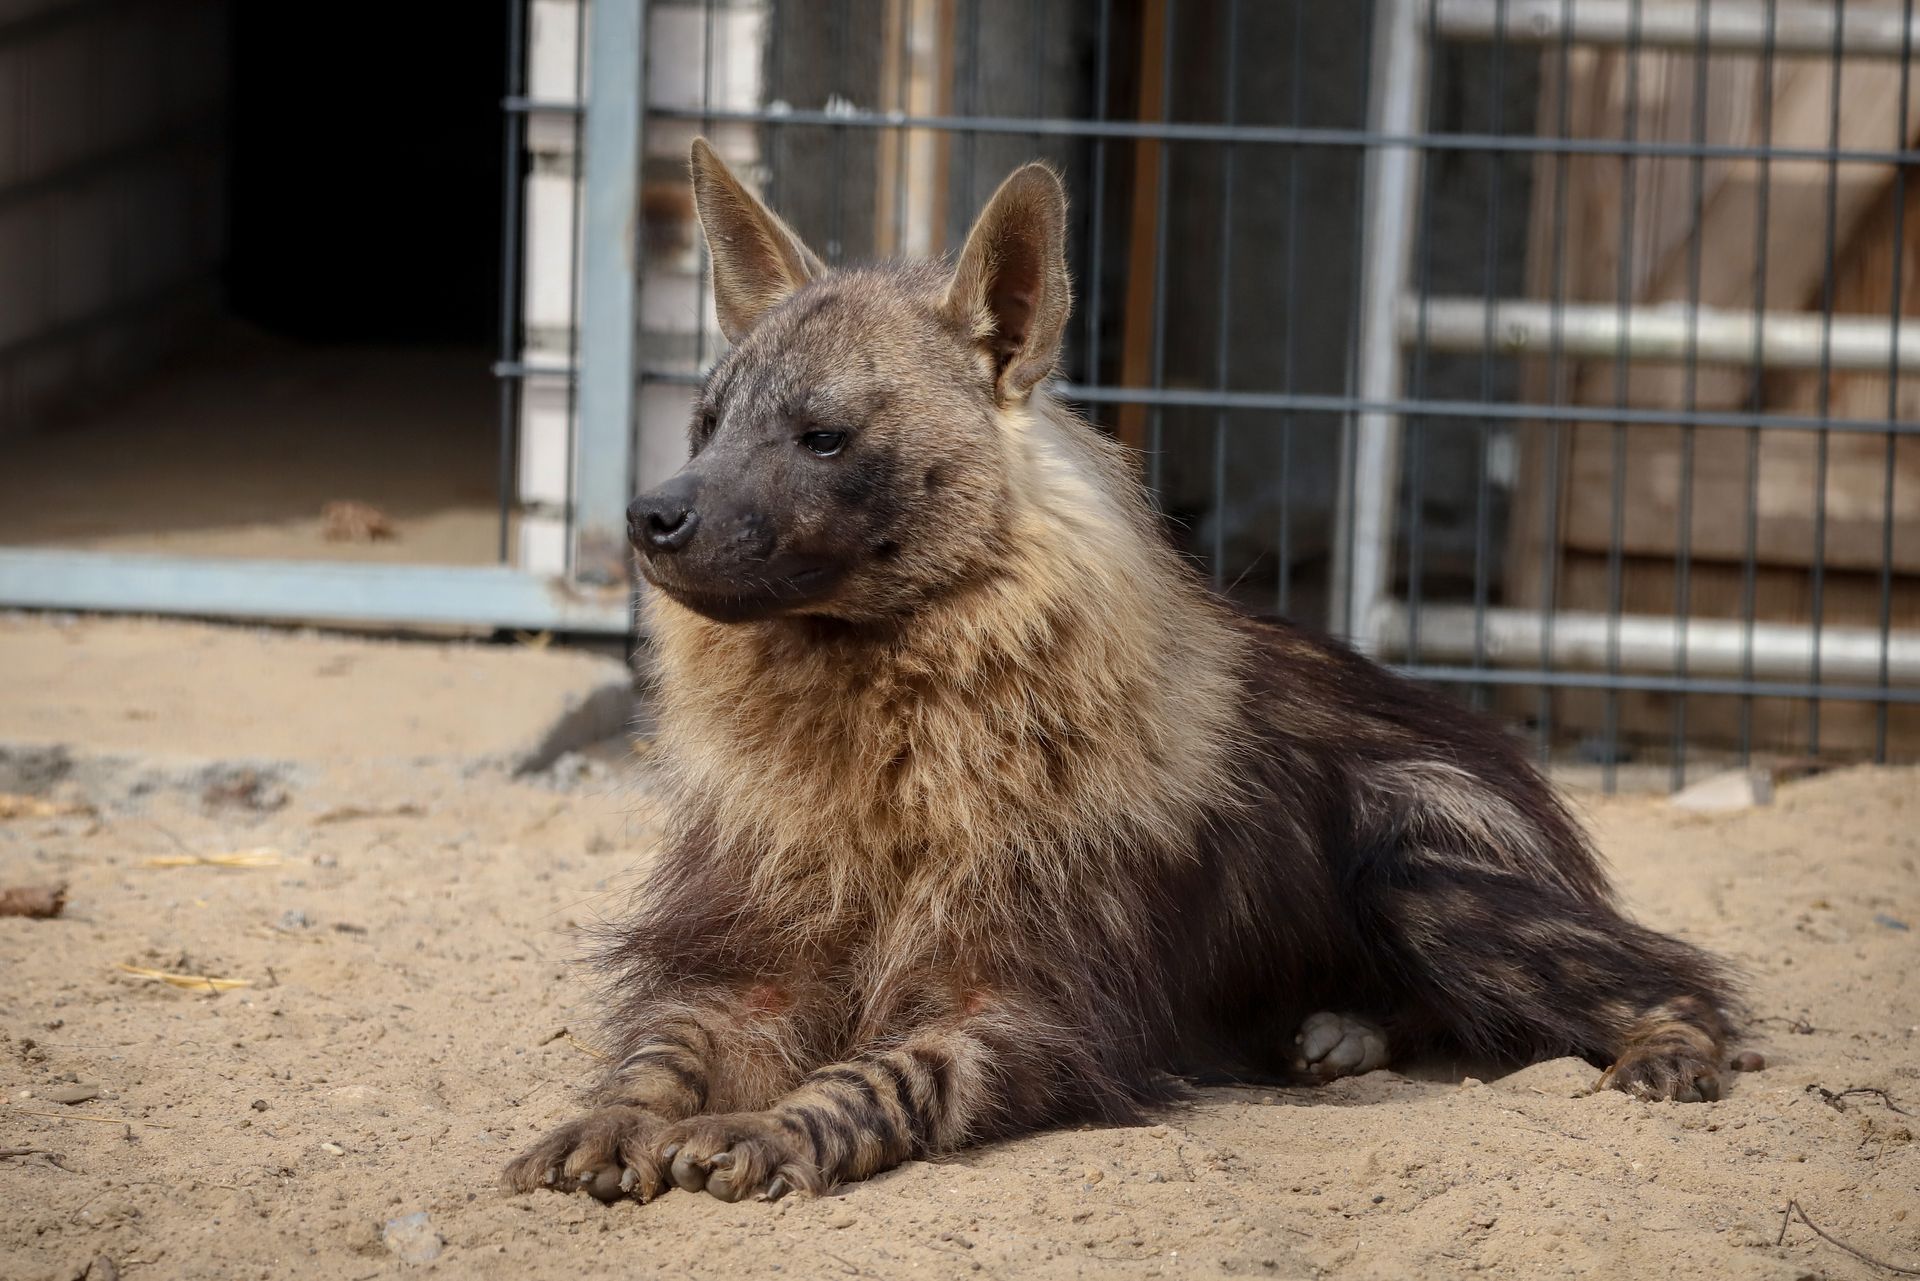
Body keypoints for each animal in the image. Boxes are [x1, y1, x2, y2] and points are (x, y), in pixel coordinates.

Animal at [503, 139, 1738, 1206]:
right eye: (706, 424)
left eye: (824, 437)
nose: (651, 514)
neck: (886, 741)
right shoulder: (752, 949)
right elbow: (666, 1047)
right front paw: (607, 1125)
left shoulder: (1025, 1000)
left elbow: (882, 1078)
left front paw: (765, 1132)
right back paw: (1337, 1032)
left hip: (1422, 861)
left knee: (1675, 975)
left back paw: (1656, 1053)